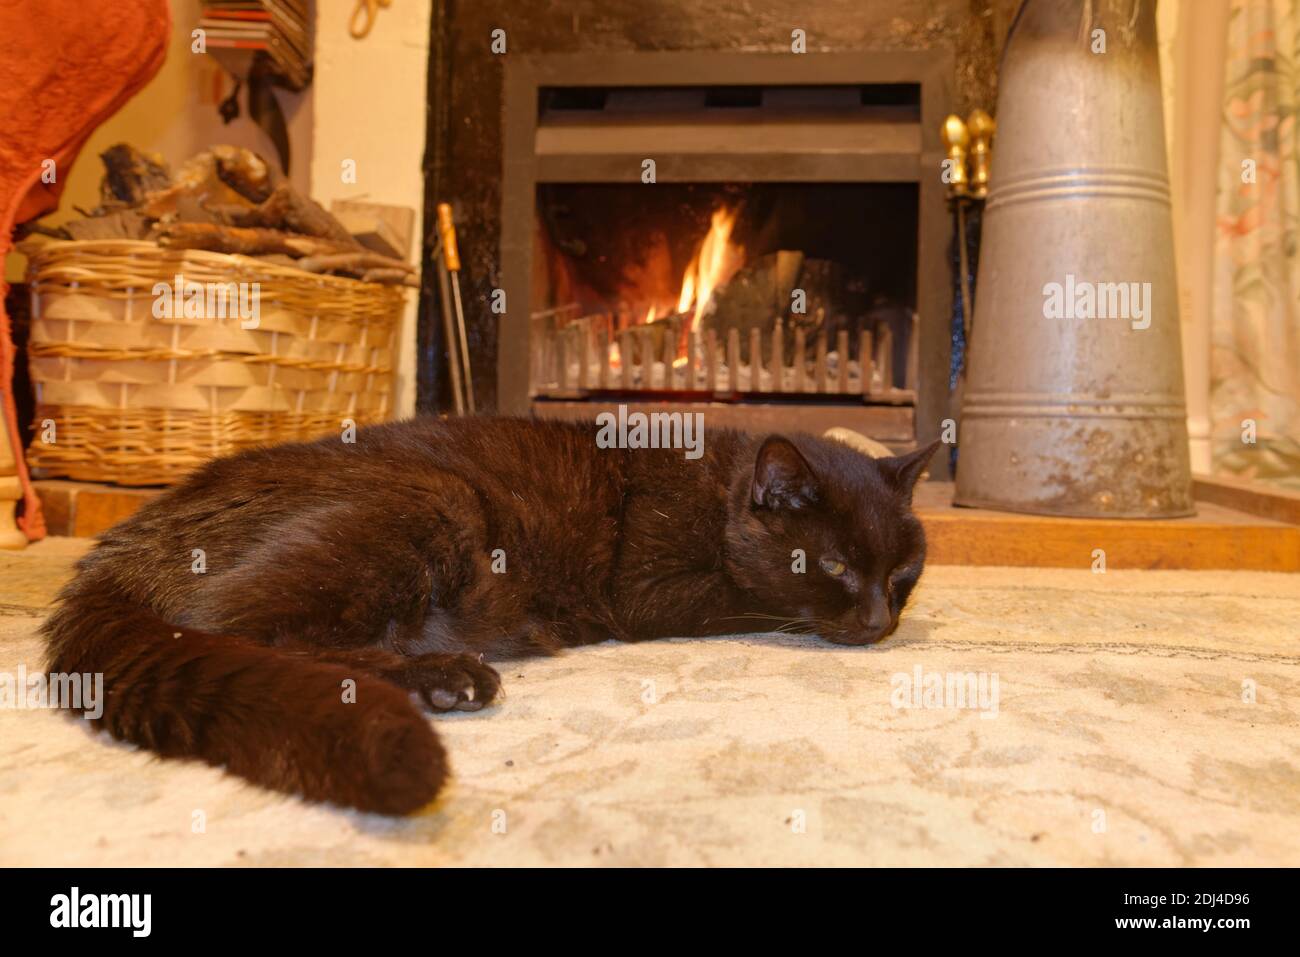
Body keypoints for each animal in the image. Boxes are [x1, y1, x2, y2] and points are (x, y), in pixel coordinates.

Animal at [40, 416, 935, 811]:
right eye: (832, 566)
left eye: (902, 573)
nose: (878, 622)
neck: (713, 484)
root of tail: (123, 545)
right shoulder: (654, 590)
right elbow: (747, 601)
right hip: (434, 497)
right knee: (246, 629)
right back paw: (447, 676)